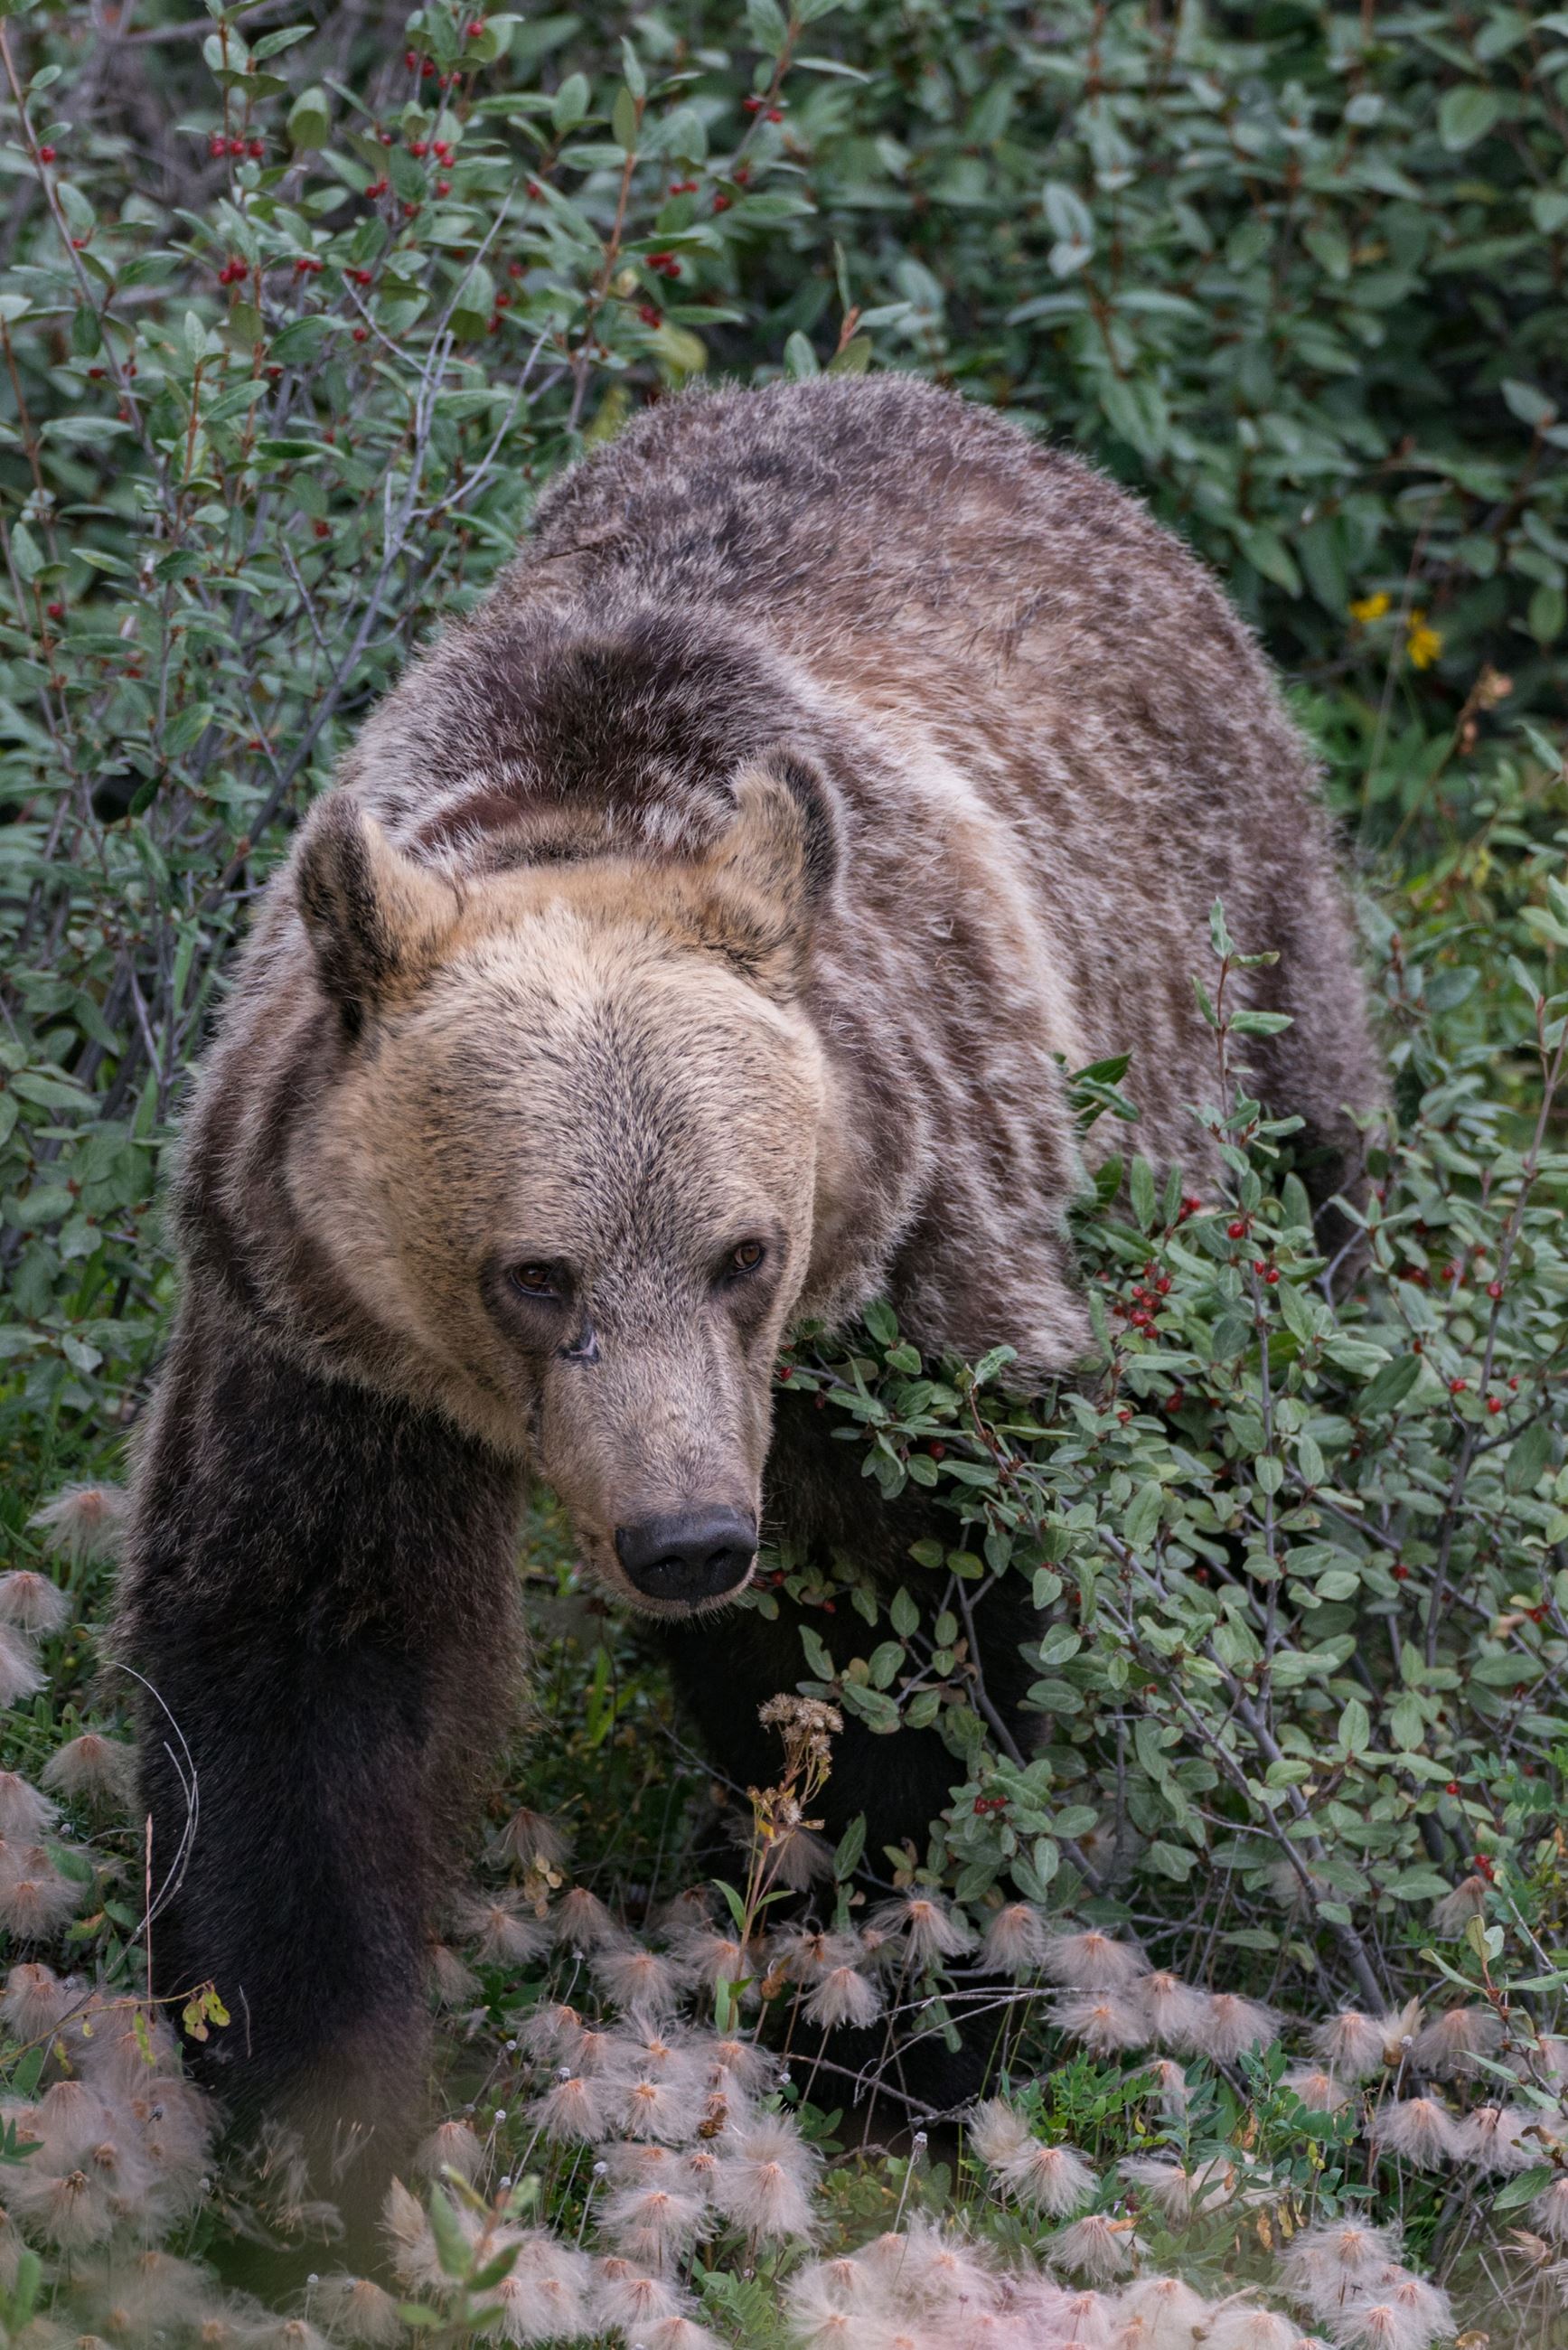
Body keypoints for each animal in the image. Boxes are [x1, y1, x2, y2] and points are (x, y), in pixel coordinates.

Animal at [118, 373, 1380, 2243]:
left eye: (743, 1253)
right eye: (536, 1272)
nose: (690, 1538)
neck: (582, 799)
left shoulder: (908, 1292)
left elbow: (901, 1661)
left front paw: (905, 2035)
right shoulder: (317, 1329)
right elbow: (302, 1661)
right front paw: (322, 2109)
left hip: (1239, 1038)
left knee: (1267, 1433)